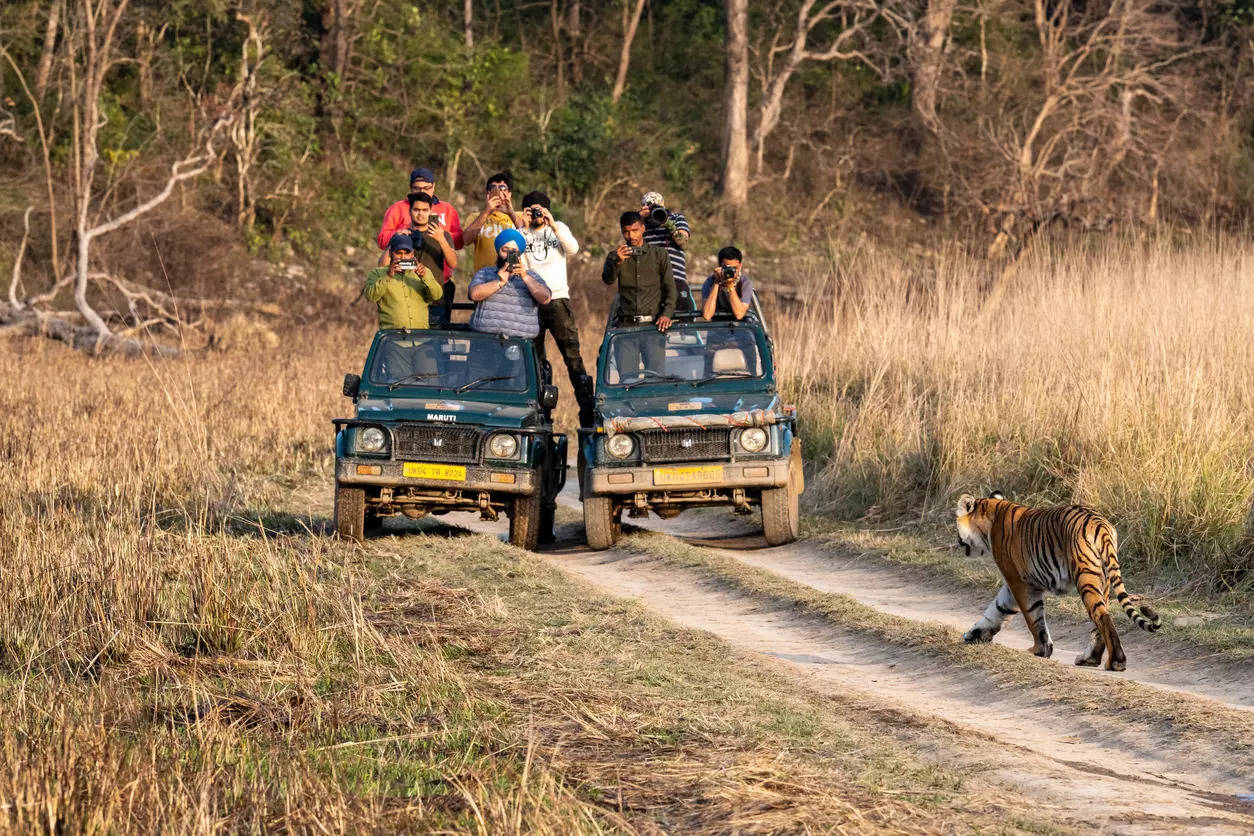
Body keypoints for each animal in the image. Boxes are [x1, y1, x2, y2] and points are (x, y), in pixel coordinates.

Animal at [953, 493, 1158, 671]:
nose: (958, 541)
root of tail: (1100, 523)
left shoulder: (1019, 581)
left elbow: (1032, 617)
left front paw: (1039, 650)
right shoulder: (1014, 585)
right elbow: (997, 609)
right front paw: (974, 634)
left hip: (1086, 576)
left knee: (1102, 616)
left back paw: (1116, 661)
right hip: (1104, 580)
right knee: (1101, 619)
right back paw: (1090, 659)